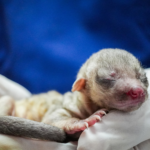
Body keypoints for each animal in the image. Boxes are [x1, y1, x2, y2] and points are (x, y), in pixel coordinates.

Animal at [0, 48, 148, 141]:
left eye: (142, 77)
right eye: (109, 78)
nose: (138, 90)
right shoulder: (66, 105)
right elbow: (52, 117)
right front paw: (83, 121)